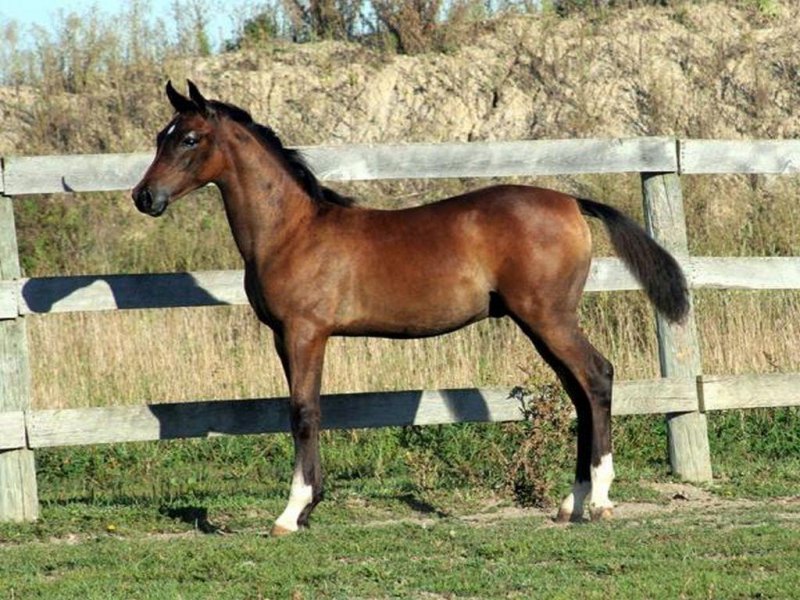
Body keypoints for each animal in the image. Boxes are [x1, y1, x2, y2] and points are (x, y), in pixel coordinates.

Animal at [132, 80, 689, 536]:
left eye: (189, 139)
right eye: (162, 136)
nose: (144, 197)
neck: (293, 231)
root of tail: (571, 201)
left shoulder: (304, 332)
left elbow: (304, 411)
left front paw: (292, 512)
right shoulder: (281, 336)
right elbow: (306, 409)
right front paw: (309, 508)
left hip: (548, 318)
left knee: (597, 376)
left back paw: (599, 500)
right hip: (538, 323)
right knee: (579, 391)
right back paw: (570, 502)